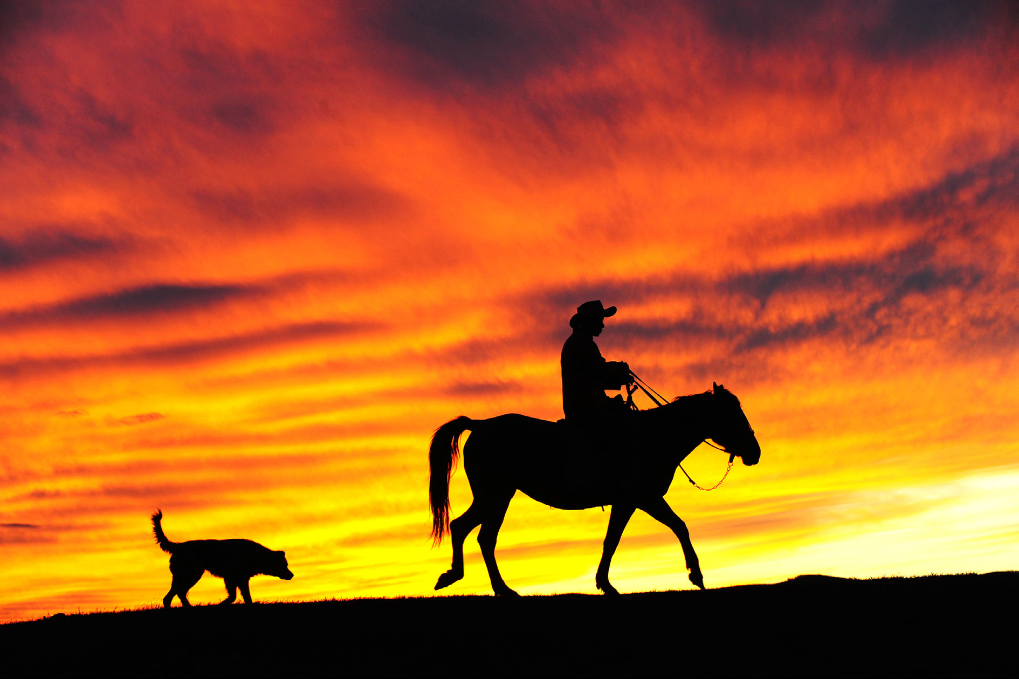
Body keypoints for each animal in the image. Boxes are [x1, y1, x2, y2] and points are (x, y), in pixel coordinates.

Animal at [150, 505, 295, 603]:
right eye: (284, 565)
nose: (292, 575)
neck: (256, 555)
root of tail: (178, 546)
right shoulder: (231, 578)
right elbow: (234, 596)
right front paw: (222, 604)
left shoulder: (241, 579)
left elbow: (246, 598)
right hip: (191, 574)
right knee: (177, 593)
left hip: (185, 576)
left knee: (174, 595)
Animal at [425, 383, 762, 595]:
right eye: (732, 412)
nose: (755, 452)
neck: (654, 435)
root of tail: (480, 424)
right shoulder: (642, 498)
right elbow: (675, 527)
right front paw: (696, 575)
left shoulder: (630, 502)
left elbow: (612, 541)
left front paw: (605, 583)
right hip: (496, 495)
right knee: (479, 535)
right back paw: (495, 588)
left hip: (494, 496)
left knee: (468, 530)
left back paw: (464, 579)